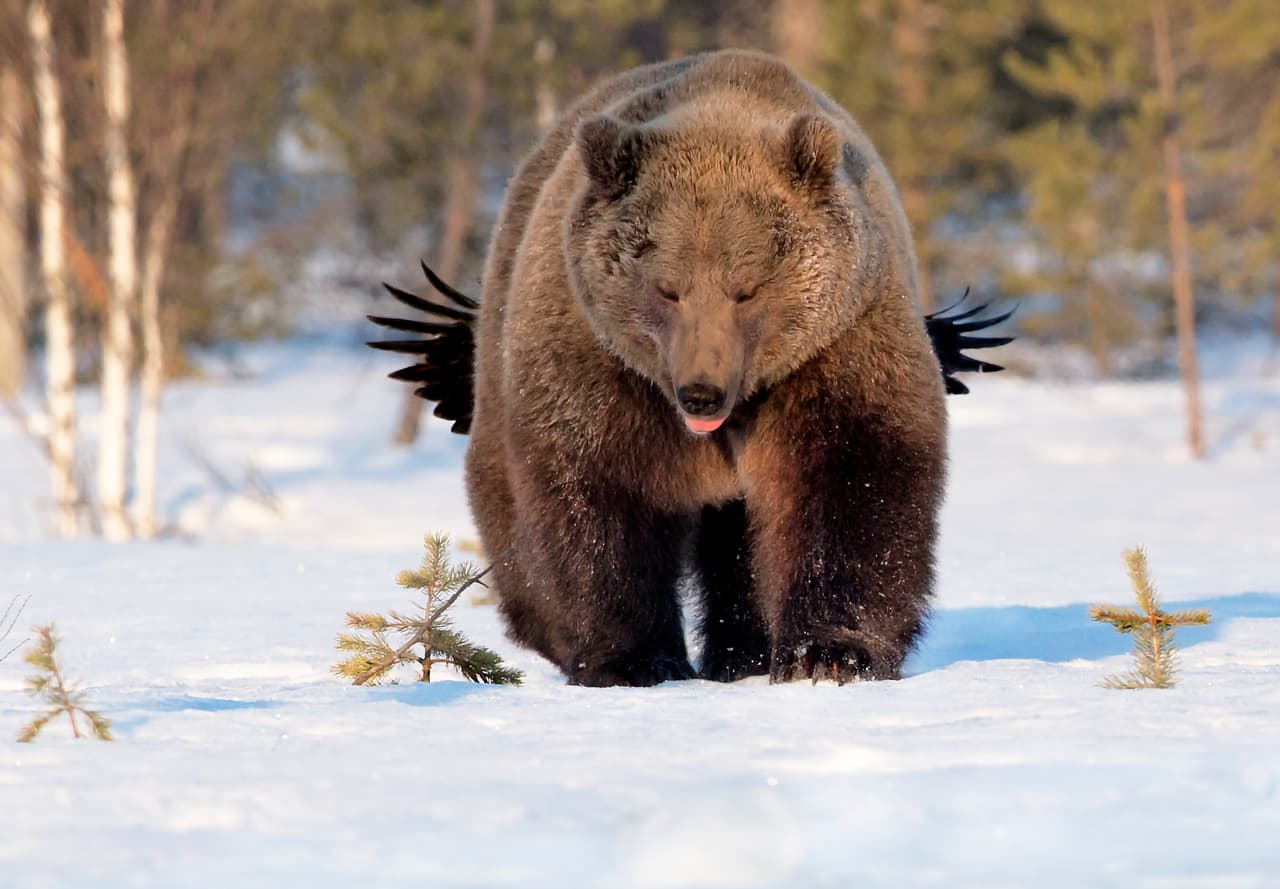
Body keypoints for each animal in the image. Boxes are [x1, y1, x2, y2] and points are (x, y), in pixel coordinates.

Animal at [371, 50, 1011, 686]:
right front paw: (634, 658)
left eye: (747, 289)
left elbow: (851, 475)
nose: (701, 391)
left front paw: (827, 652)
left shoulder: (837, 341)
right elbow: (596, 488)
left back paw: (743, 652)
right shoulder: (596, 357)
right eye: (667, 288)